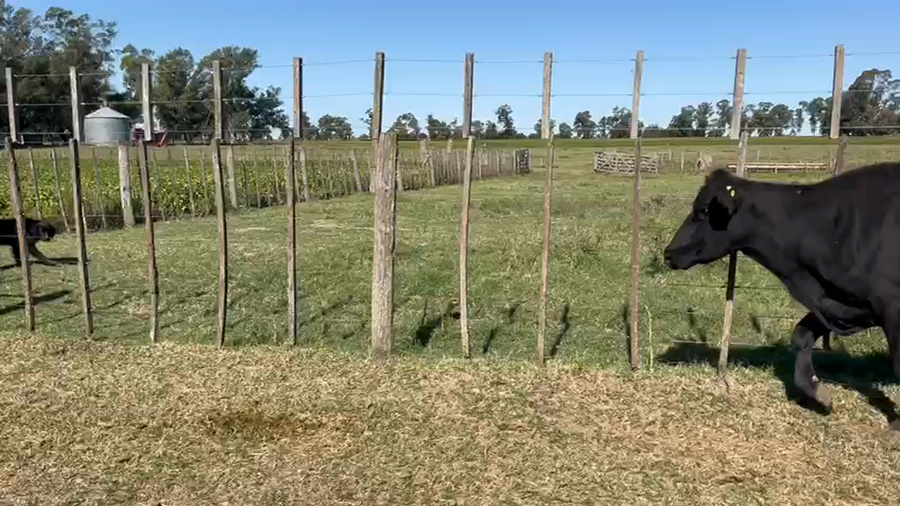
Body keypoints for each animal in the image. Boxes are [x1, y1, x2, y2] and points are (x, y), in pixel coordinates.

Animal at [664, 163, 900, 417]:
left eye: (705, 210)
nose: (668, 253)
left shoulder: (891, 309)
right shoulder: (843, 302)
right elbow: (801, 335)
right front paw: (818, 393)